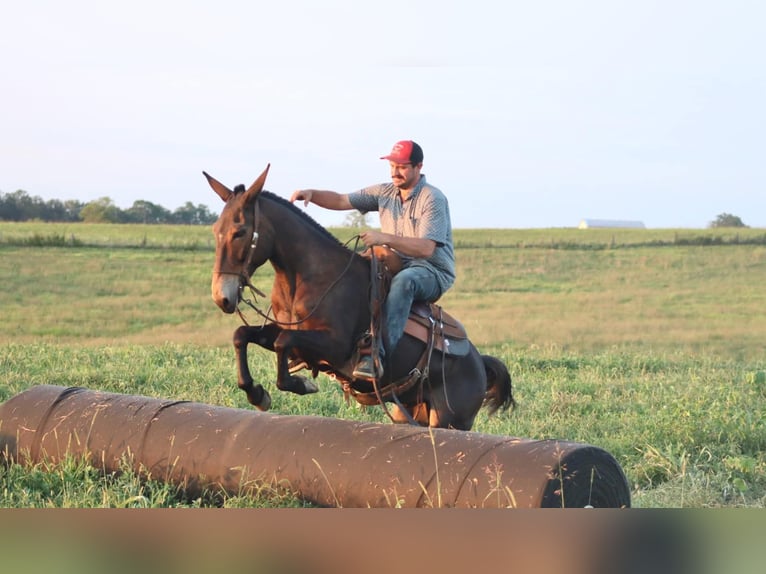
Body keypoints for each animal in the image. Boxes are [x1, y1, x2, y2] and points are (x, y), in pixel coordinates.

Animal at [206, 164, 516, 430]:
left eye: (240, 232)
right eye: (216, 230)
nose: (222, 296)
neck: (309, 277)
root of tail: (479, 363)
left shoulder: (335, 346)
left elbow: (283, 342)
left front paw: (302, 384)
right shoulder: (290, 335)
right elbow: (242, 334)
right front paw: (257, 393)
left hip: (449, 420)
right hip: (408, 412)